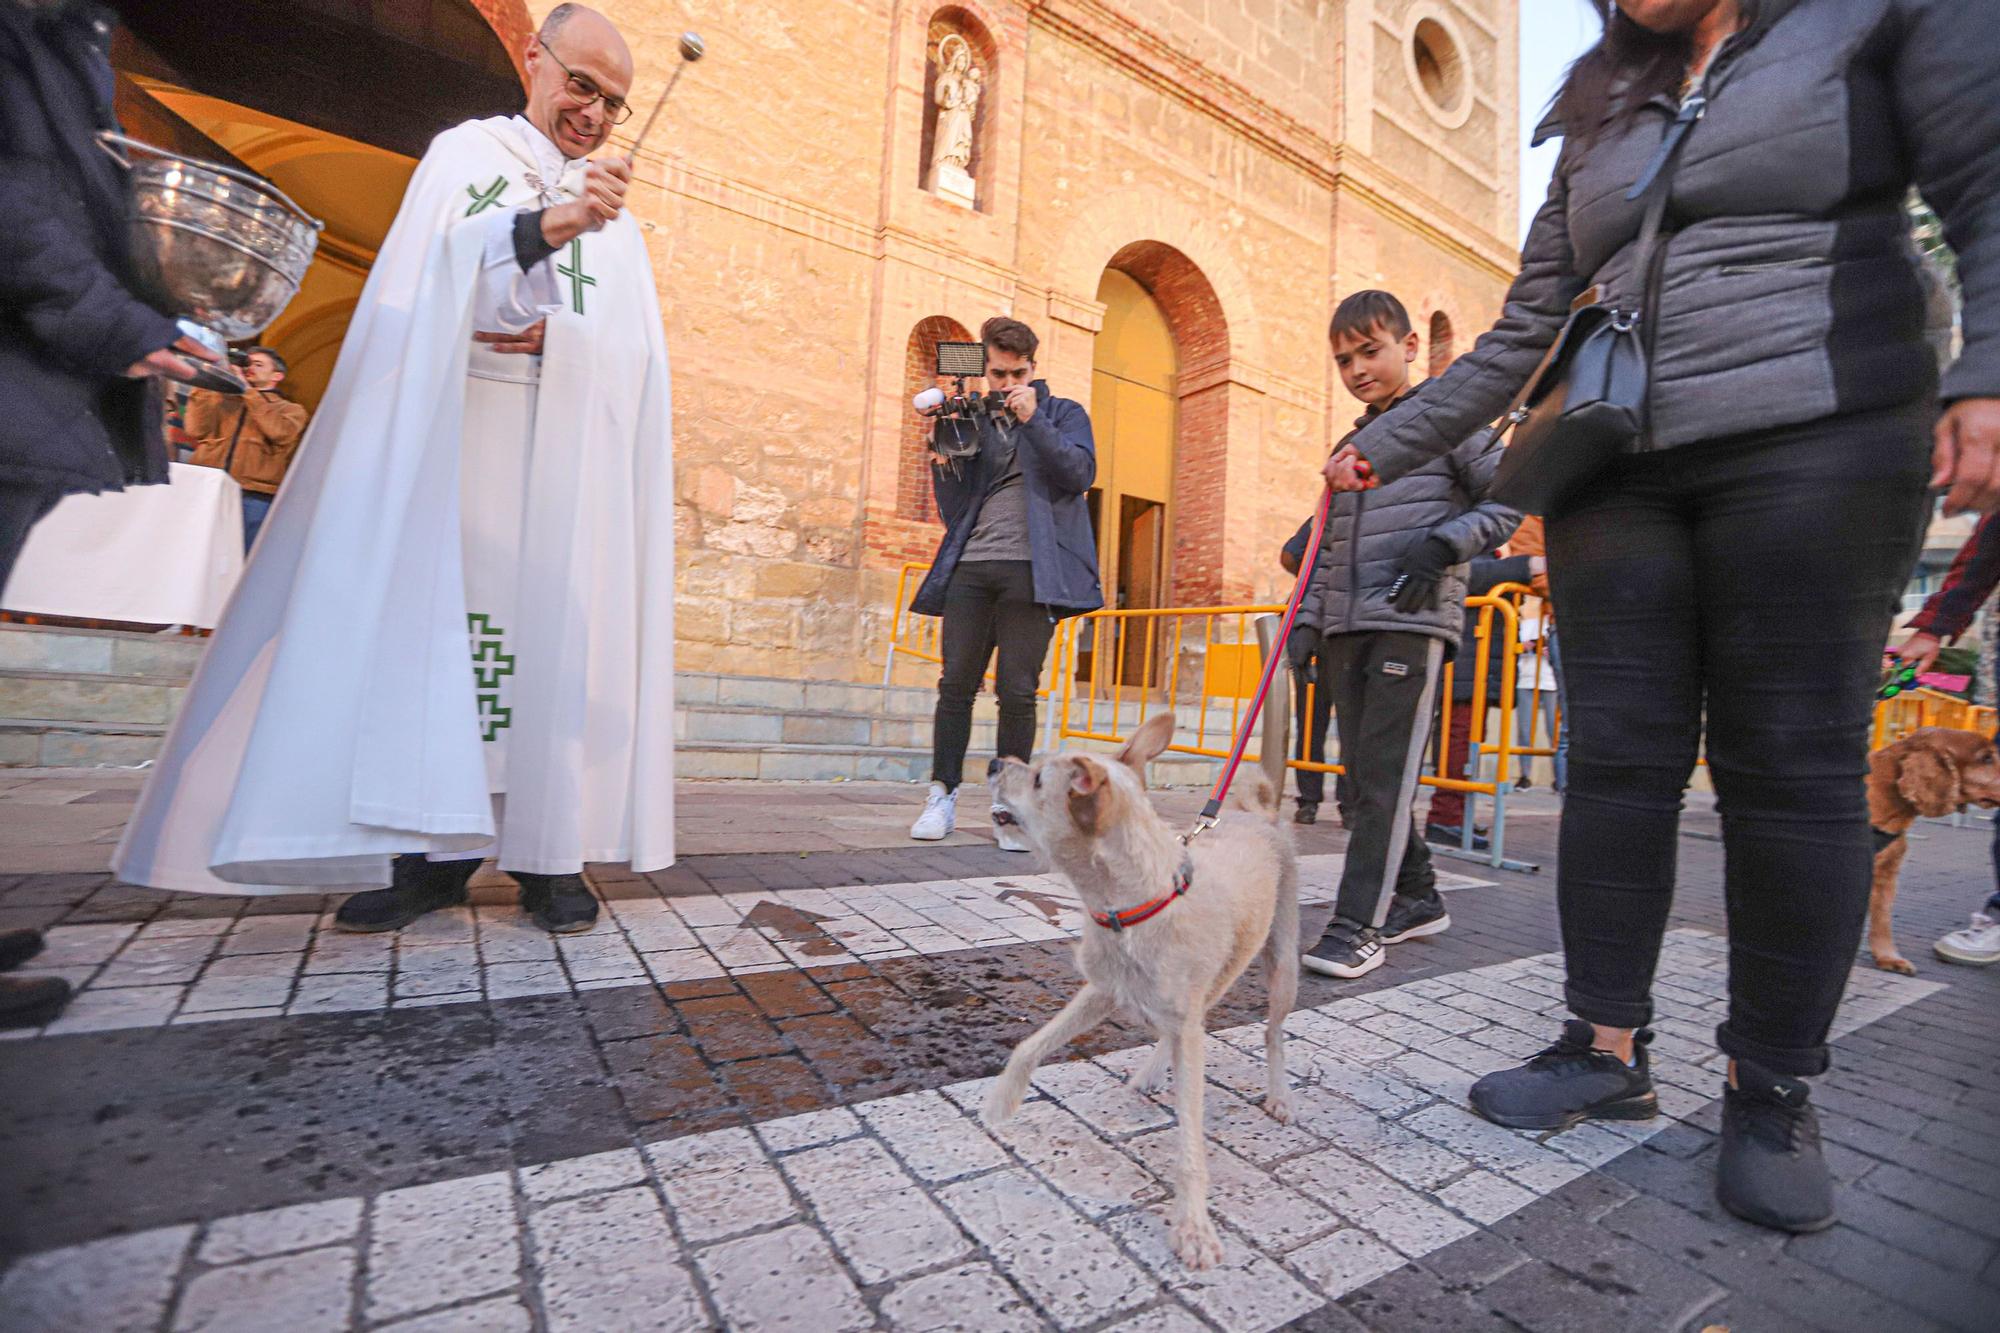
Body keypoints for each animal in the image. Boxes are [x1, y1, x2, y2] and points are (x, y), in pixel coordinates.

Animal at [980, 716, 1296, 1264]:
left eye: (1039, 778)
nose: (995, 762)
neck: (1138, 903)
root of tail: (1257, 815)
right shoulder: (1103, 990)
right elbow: (1028, 1046)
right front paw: (1002, 1101)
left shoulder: (1186, 1021)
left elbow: (1190, 1142)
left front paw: (1193, 1227)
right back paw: (1151, 1072)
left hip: (1282, 964)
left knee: (1272, 1033)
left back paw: (1277, 1094)